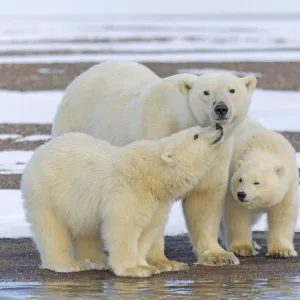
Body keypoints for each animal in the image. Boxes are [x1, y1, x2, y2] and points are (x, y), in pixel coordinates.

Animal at [21, 123, 225, 276]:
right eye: (196, 135)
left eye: (198, 127)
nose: (218, 126)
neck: (153, 174)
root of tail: (38, 152)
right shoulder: (130, 190)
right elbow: (124, 226)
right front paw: (133, 270)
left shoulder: (158, 201)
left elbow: (149, 229)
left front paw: (146, 265)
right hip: (46, 192)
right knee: (50, 229)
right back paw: (67, 264)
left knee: (85, 229)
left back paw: (96, 261)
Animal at [52, 61, 258, 268]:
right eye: (206, 92)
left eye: (232, 90)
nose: (221, 108)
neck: (180, 121)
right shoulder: (157, 134)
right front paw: (161, 261)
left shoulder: (218, 155)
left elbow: (205, 198)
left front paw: (218, 255)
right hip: (75, 127)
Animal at [221, 118, 298, 258]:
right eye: (240, 179)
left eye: (256, 182)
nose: (241, 194)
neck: (263, 147)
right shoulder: (231, 180)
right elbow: (236, 214)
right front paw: (243, 249)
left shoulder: (288, 186)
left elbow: (283, 213)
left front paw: (281, 251)